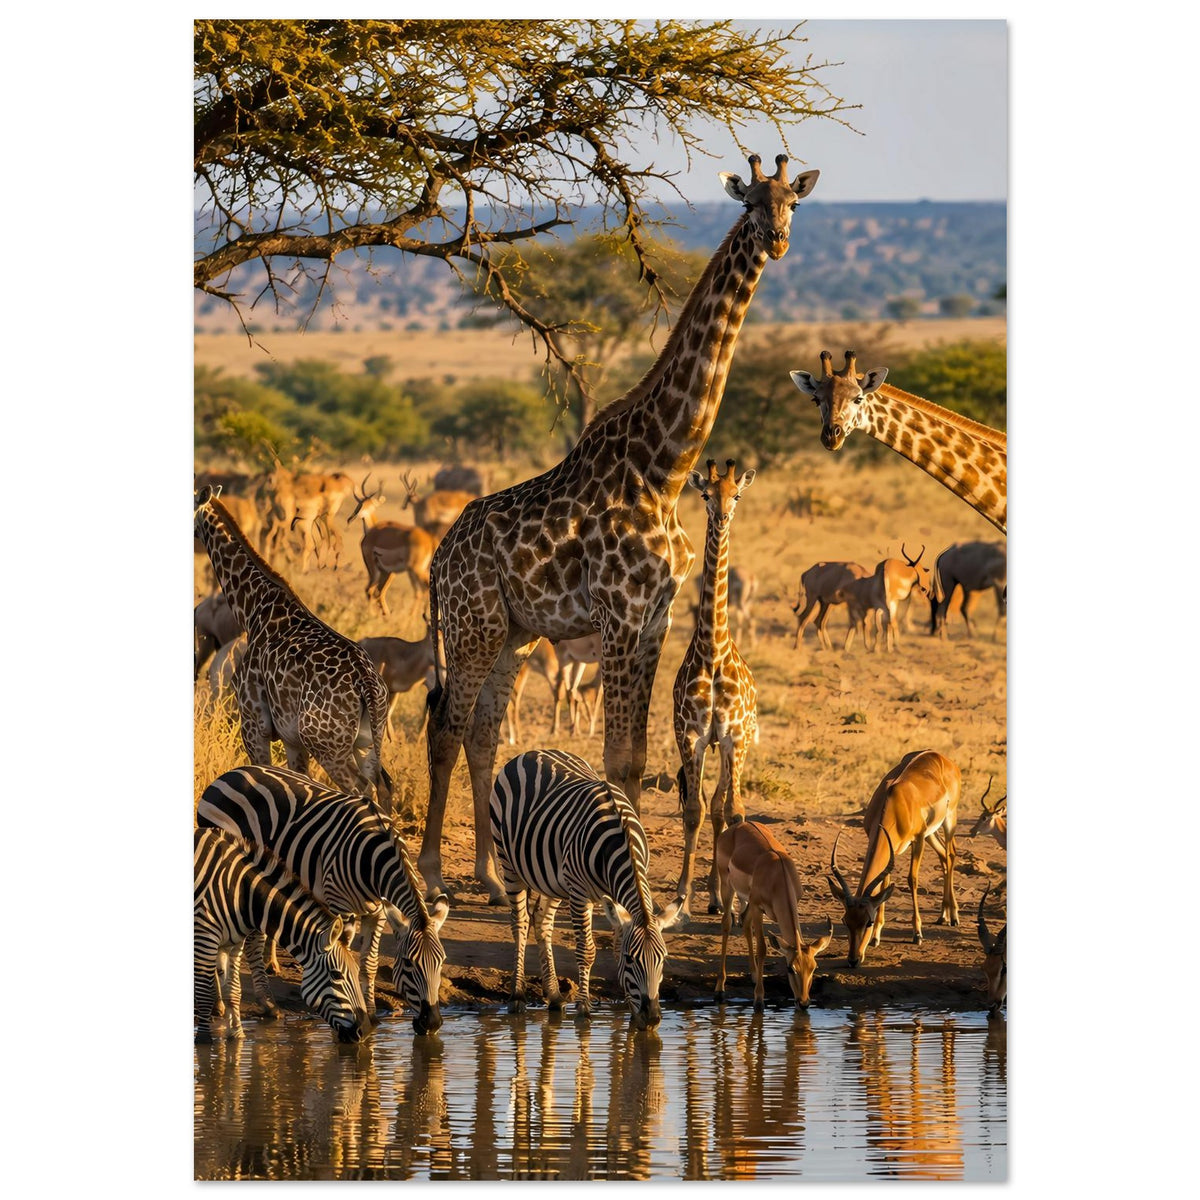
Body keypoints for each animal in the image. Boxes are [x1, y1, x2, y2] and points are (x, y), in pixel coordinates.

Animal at [194, 827, 370, 1044]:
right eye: (336, 975)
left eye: (356, 972)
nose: (365, 1032)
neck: (243, 893)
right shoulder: (204, 935)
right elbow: (204, 992)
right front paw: (204, 1041)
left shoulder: (233, 944)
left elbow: (234, 991)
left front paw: (237, 1036)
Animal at [489, 749, 685, 1029]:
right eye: (631, 960)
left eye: (664, 959)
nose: (652, 1019)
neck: (620, 841)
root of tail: (532, 752)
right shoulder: (580, 893)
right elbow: (587, 950)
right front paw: (584, 1008)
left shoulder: (614, 898)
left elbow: (615, 945)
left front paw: (630, 1011)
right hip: (509, 862)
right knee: (520, 923)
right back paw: (517, 996)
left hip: (554, 880)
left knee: (542, 921)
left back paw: (554, 996)